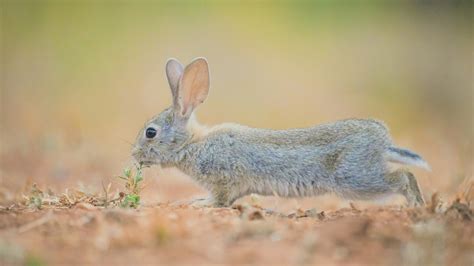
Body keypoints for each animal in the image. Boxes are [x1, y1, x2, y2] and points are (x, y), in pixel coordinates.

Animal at [132, 57, 430, 208]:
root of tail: (382, 142)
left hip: (355, 179)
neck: (192, 144)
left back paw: (417, 207)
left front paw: (198, 204)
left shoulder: (224, 181)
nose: (134, 155)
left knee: (404, 177)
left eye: (150, 132)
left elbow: (220, 200)